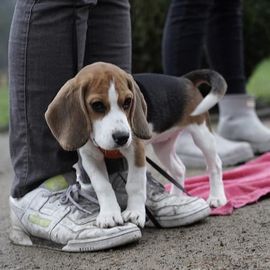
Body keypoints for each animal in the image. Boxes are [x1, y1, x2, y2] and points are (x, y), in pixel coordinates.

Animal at [44, 61, 228, 228]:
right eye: (97, 105)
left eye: (127, 102)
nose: (122, 137)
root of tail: (184, 80)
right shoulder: (90, 157)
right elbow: (102, 186)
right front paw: (109, 214)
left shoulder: (136, 150)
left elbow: (135, 184)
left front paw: (134, 213)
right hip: (163, 146)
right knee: (179, 168)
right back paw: (179, 197)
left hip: (201, 133)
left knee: (215, 164)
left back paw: (217, 197)